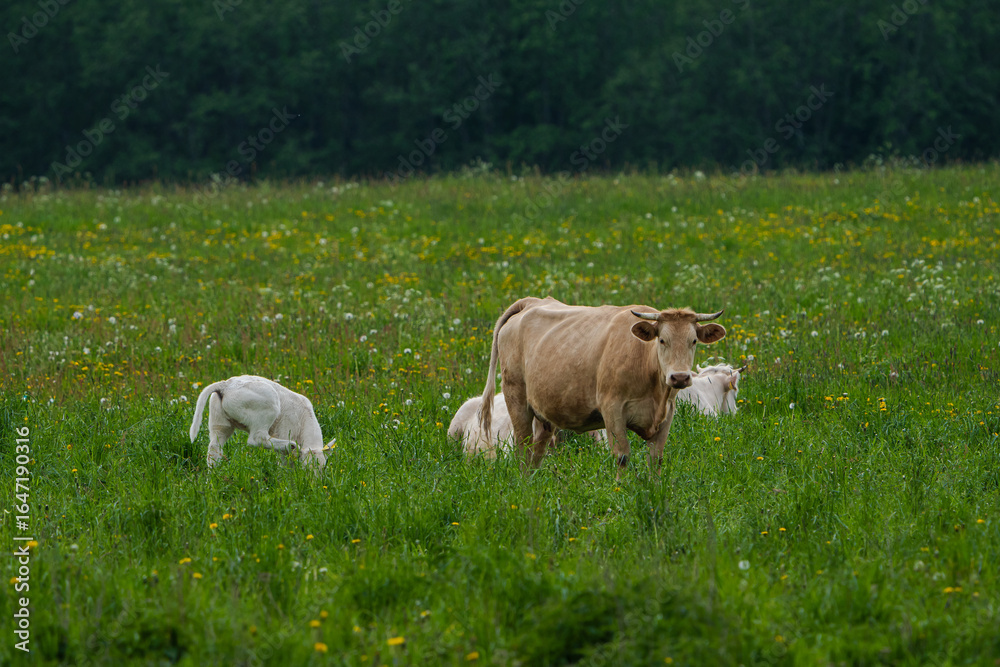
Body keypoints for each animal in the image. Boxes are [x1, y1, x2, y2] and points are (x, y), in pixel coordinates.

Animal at [189, 375, 333, 471]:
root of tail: (226, 385)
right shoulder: (286, 429)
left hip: (219, 422)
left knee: (214, 447)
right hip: (267, 410)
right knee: (256, 439)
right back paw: (290, 445)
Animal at [478, 297, 726, 476]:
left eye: (693, 341)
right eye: (662, 340)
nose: (679, 377)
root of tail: (531, 302)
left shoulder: (668, 412)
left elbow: (656, 459)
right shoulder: (612, 409)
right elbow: (622, 456)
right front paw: (621, 492)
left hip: (544, 412)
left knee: (536, 452)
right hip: (516, 397)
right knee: (522, 447)